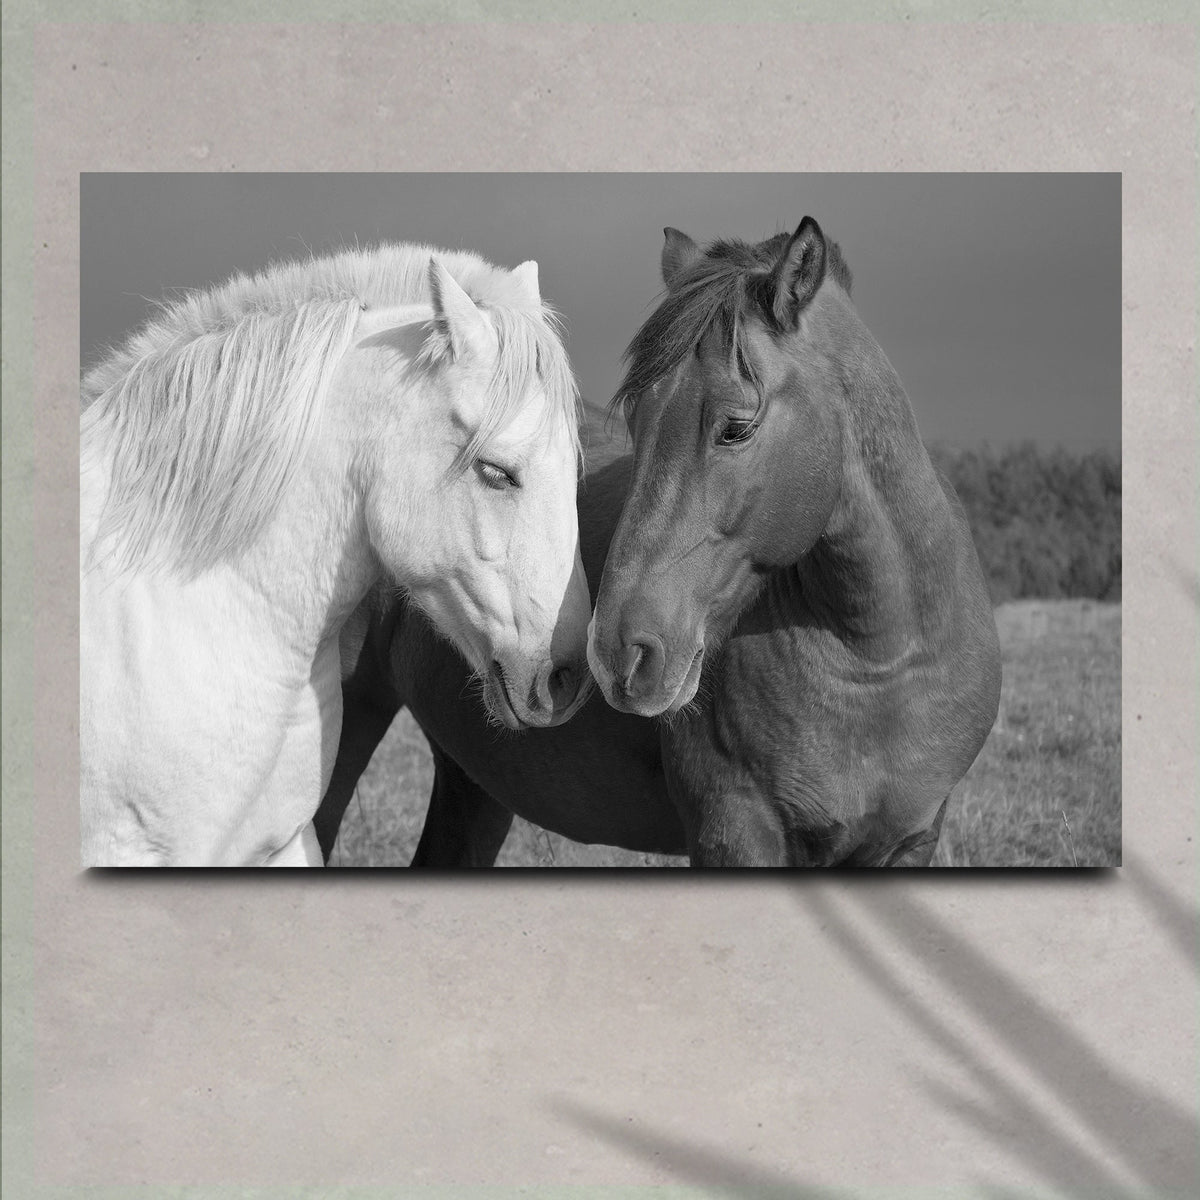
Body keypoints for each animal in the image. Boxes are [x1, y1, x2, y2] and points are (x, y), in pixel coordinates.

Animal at [317, 217, 1002, 868]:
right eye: (637, 420)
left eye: (737, 427)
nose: (619, 653)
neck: (880, 660)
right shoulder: (734, 831)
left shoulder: (908, 841)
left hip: (474, 779)